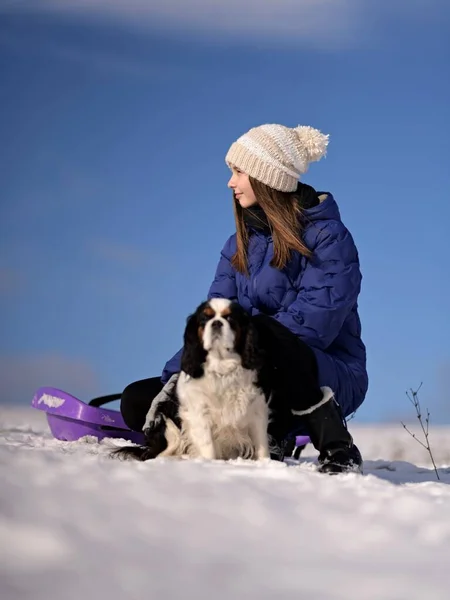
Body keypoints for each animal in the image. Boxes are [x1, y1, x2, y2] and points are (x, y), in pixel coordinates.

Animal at [114, 298, 272, 462]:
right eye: (204, 318)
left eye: (230, 318)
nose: (216, 323)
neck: (222, 368)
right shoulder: (199, 412)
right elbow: (208, 447)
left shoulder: (256, 410)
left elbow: (262, 447)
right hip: (169, 428)